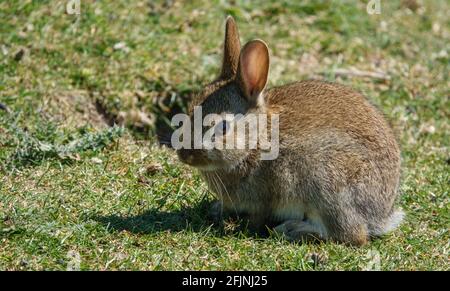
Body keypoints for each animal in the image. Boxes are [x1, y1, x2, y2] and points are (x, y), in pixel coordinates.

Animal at [175, 16, 400, 246]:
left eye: (222, 127)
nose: (184, 155)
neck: (255, 143)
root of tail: (381, 215)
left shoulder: (267, 194)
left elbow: (258, 215)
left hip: (328, 184)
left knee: (350, 234)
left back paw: (291, 229)